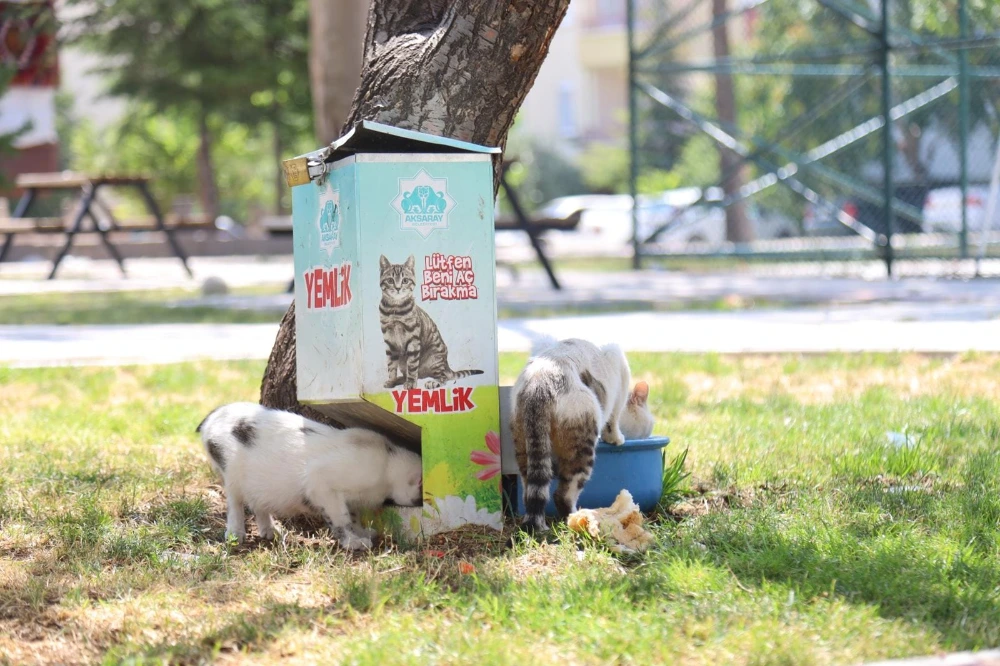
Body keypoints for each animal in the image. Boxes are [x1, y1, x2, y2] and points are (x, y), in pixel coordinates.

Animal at [197, 400, 424, 548]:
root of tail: (211, 416)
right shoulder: (320, 481)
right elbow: (341, 518)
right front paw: (356, 543)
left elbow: (353, 517)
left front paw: (366, 533)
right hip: (230, 470)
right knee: (234, 502)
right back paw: (236, 535)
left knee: (257, 504)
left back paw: (271, 533)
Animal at [376, 254, 482, 390]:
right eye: (390, 280)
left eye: (405, 280)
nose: (398, 288)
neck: (395, 309)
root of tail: (446, 365)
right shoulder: (389, 341)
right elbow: (391, 365)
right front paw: (392, 381)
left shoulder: (413, 340)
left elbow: (412, 365)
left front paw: (411, 383)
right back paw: (400, 379)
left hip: (434, 358)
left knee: (443, 377)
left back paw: (432, 381)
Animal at [512, 338, 652, 528]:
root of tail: (539, 385)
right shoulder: (619, 370)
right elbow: (613, 420)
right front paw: (617, 438)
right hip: (582, 446)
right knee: (563, 494)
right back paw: (577, 517)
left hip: (524, 442)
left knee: (531, 490)